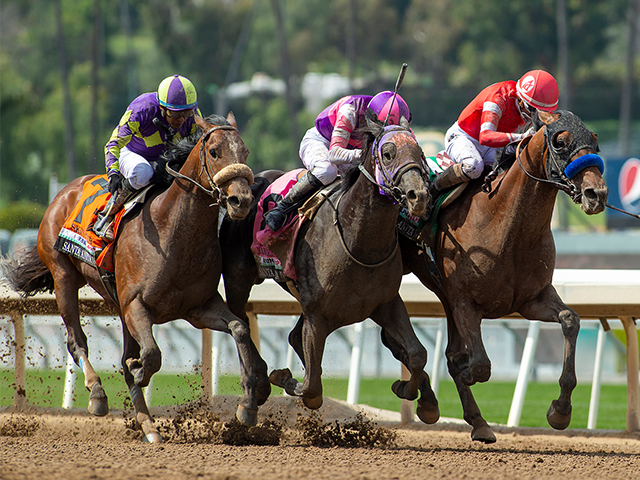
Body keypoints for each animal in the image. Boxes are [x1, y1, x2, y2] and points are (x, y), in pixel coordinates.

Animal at [1, 112, 270, 442]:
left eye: (245, 152)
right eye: (214, 151)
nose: (241, 200)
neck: (173, 231)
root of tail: (65, 191)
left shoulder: (198, 307)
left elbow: (239, 328)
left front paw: (248, 403)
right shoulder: (137, 305)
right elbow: (151, 355)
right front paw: (140, 370)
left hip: (117, 302)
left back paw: (149, 426)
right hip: (64, 275)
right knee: (77, 341)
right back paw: (98, 394)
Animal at [222, 114, 442, 422]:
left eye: (420, 152)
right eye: (388, 153)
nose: (418, 196)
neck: (357, 241)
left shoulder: (385, 303)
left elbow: (417, 353)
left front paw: (412, 393)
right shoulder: (317, 314)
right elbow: (312, 387)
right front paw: (283, 377)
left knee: (286, 335)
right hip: (237, 278)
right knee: (240, 320)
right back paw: (255, 392)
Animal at [402, 110, 608, 444]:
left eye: (595, 139)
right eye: (560, 142)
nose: (597, 194)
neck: (505, 225)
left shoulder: (532, 300)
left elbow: (570, 320)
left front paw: (560, 410)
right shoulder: (465, 302)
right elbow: (479, 365)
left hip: (445, 298)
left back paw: (474, 420)